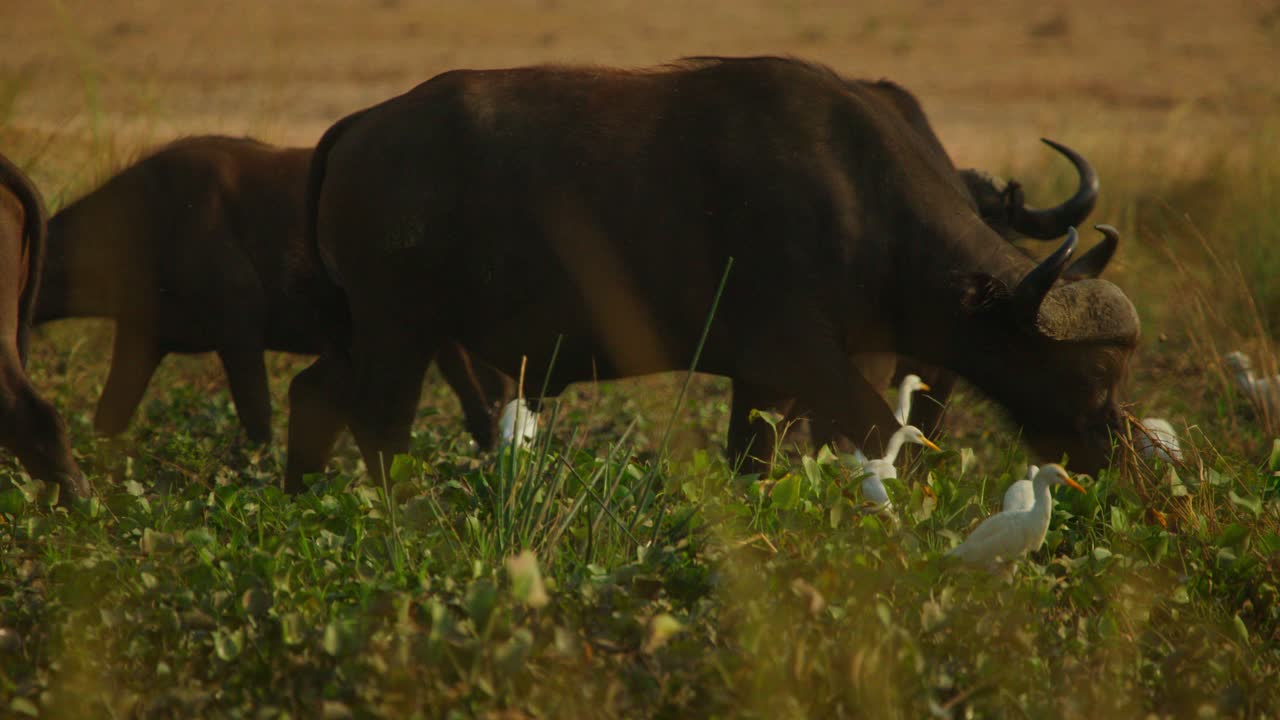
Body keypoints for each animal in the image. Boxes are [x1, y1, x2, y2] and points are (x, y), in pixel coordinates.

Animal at [285, 57, 1140, 492]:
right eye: (1092, 372)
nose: (1116, 449)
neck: (859, 198)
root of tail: (361, 127)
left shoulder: (766, 383)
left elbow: (755, 462)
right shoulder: (806, 358)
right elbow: (874, 434)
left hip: (366, 330)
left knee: (315, 392)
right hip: (399, 329)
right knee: (382, 424)